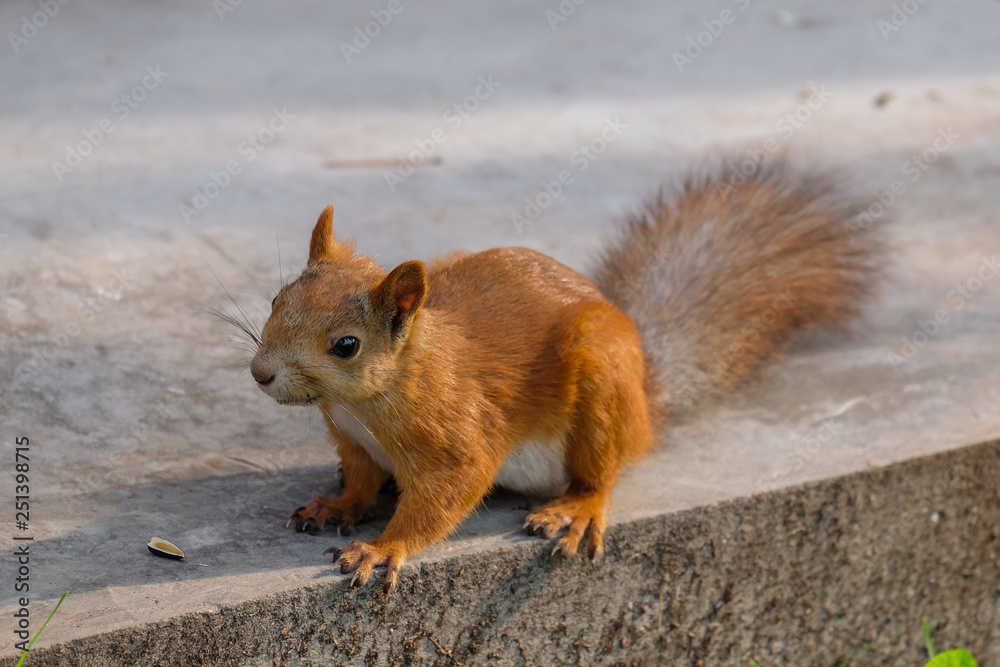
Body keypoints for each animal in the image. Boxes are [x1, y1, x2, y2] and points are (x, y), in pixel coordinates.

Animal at [247, 156, 881, 593]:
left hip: (602, 385)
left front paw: (383, 547)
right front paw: (339, 504)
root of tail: (647, 407)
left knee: (601, 475)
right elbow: (358, 477)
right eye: (277, 299)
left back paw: (575, 511)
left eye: (346, 346)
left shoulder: (459, 432)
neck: (367, 403)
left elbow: (449, 493)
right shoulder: (354, 440)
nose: (260, 373)